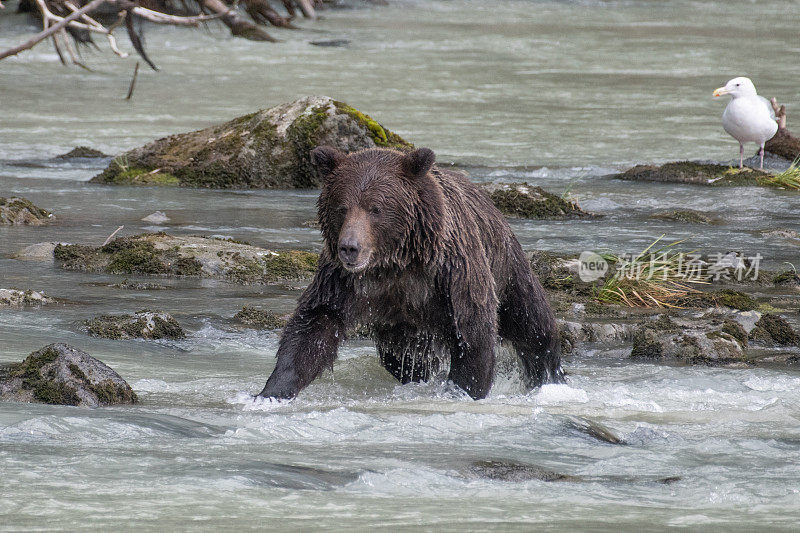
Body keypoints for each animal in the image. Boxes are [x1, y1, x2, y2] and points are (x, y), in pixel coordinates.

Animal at [258, 145, 564, 400]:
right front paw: (272, 391)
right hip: (402, 330)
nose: (349, 248)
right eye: (341, 207)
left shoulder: (452, 272)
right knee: (403, 359)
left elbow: (473, 332)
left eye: (376, 209)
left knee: (533, 325)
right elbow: (315, 324)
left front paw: (463, 391)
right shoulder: (344, 281)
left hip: (506, 265)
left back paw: (550, 377)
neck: (397, 262)